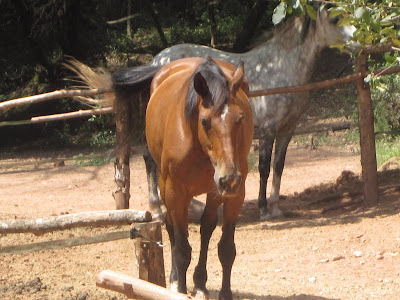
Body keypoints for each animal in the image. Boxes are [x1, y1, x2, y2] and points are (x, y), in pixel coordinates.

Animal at [145, 7, 354, 221]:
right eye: (335, 19)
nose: (358, 41)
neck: (281, 68)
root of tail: (158, 63)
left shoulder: (287, 129)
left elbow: (278, 167)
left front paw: (275, 207)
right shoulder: (268, 130)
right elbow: (264, 168)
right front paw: (263, 209)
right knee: (151, 160)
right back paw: (158, 209)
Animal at [146, 56, 253, 300]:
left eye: (240, 118)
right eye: (205, 121)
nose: (229, 178)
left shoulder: (234, 194)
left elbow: (226, 249)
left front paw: (224, 293)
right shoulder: (175, 192)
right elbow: (182, 249)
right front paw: (180, 288)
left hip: (215, 192)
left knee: (206, 228)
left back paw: (201, 283)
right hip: (167, 187)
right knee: (172, 229)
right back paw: (175, 279)